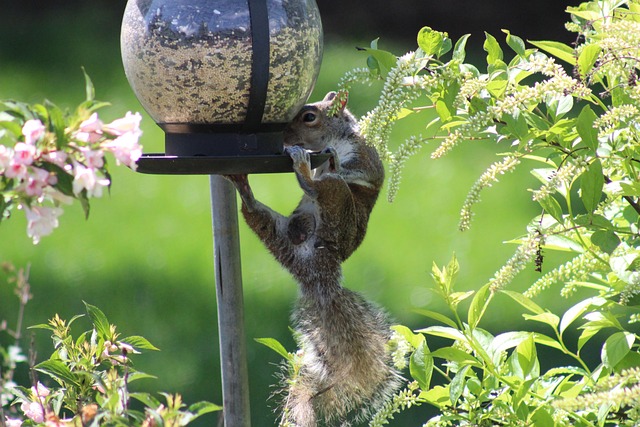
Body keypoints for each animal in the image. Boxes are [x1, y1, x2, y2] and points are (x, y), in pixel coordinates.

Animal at [226, 92, 401, 426]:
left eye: (309, 117)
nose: (284, 137)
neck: (337, 138)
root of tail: (315, 268)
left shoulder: (365, 159)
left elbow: (360, 173)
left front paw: (329, 161)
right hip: (278, 232)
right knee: (258, 213)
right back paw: (244, 186)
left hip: (338, 202)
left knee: (324, 185)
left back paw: (305, 171)